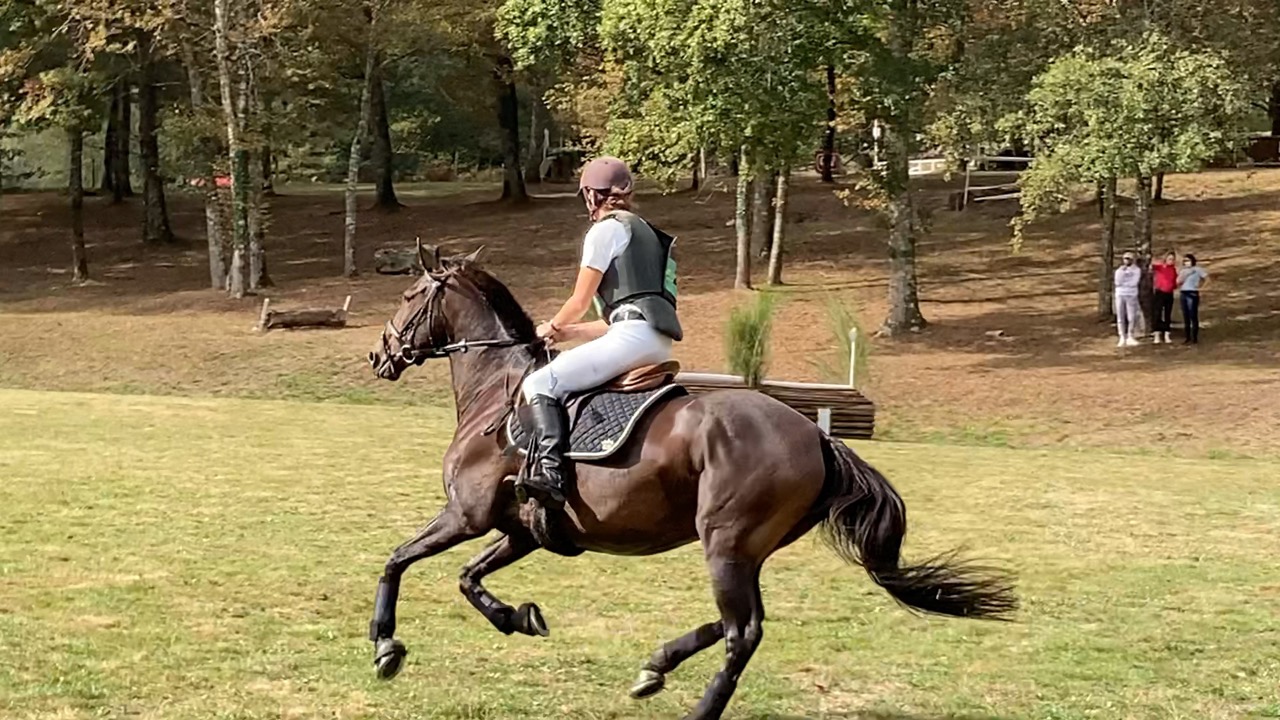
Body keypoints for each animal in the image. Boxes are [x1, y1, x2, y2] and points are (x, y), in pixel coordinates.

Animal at [366, 244, 1013, 717]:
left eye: (407, 295)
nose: (379, 355)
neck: (495, 393)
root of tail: (816, 434)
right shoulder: (521, 530)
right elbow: (467, 578)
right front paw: (517, 617)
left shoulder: (466, 515)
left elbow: (398, 560)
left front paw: (385, 644)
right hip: (745, 549)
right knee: (735, 623)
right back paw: (655, 666)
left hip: (725, 542)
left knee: (742, 631)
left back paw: (696, 706)